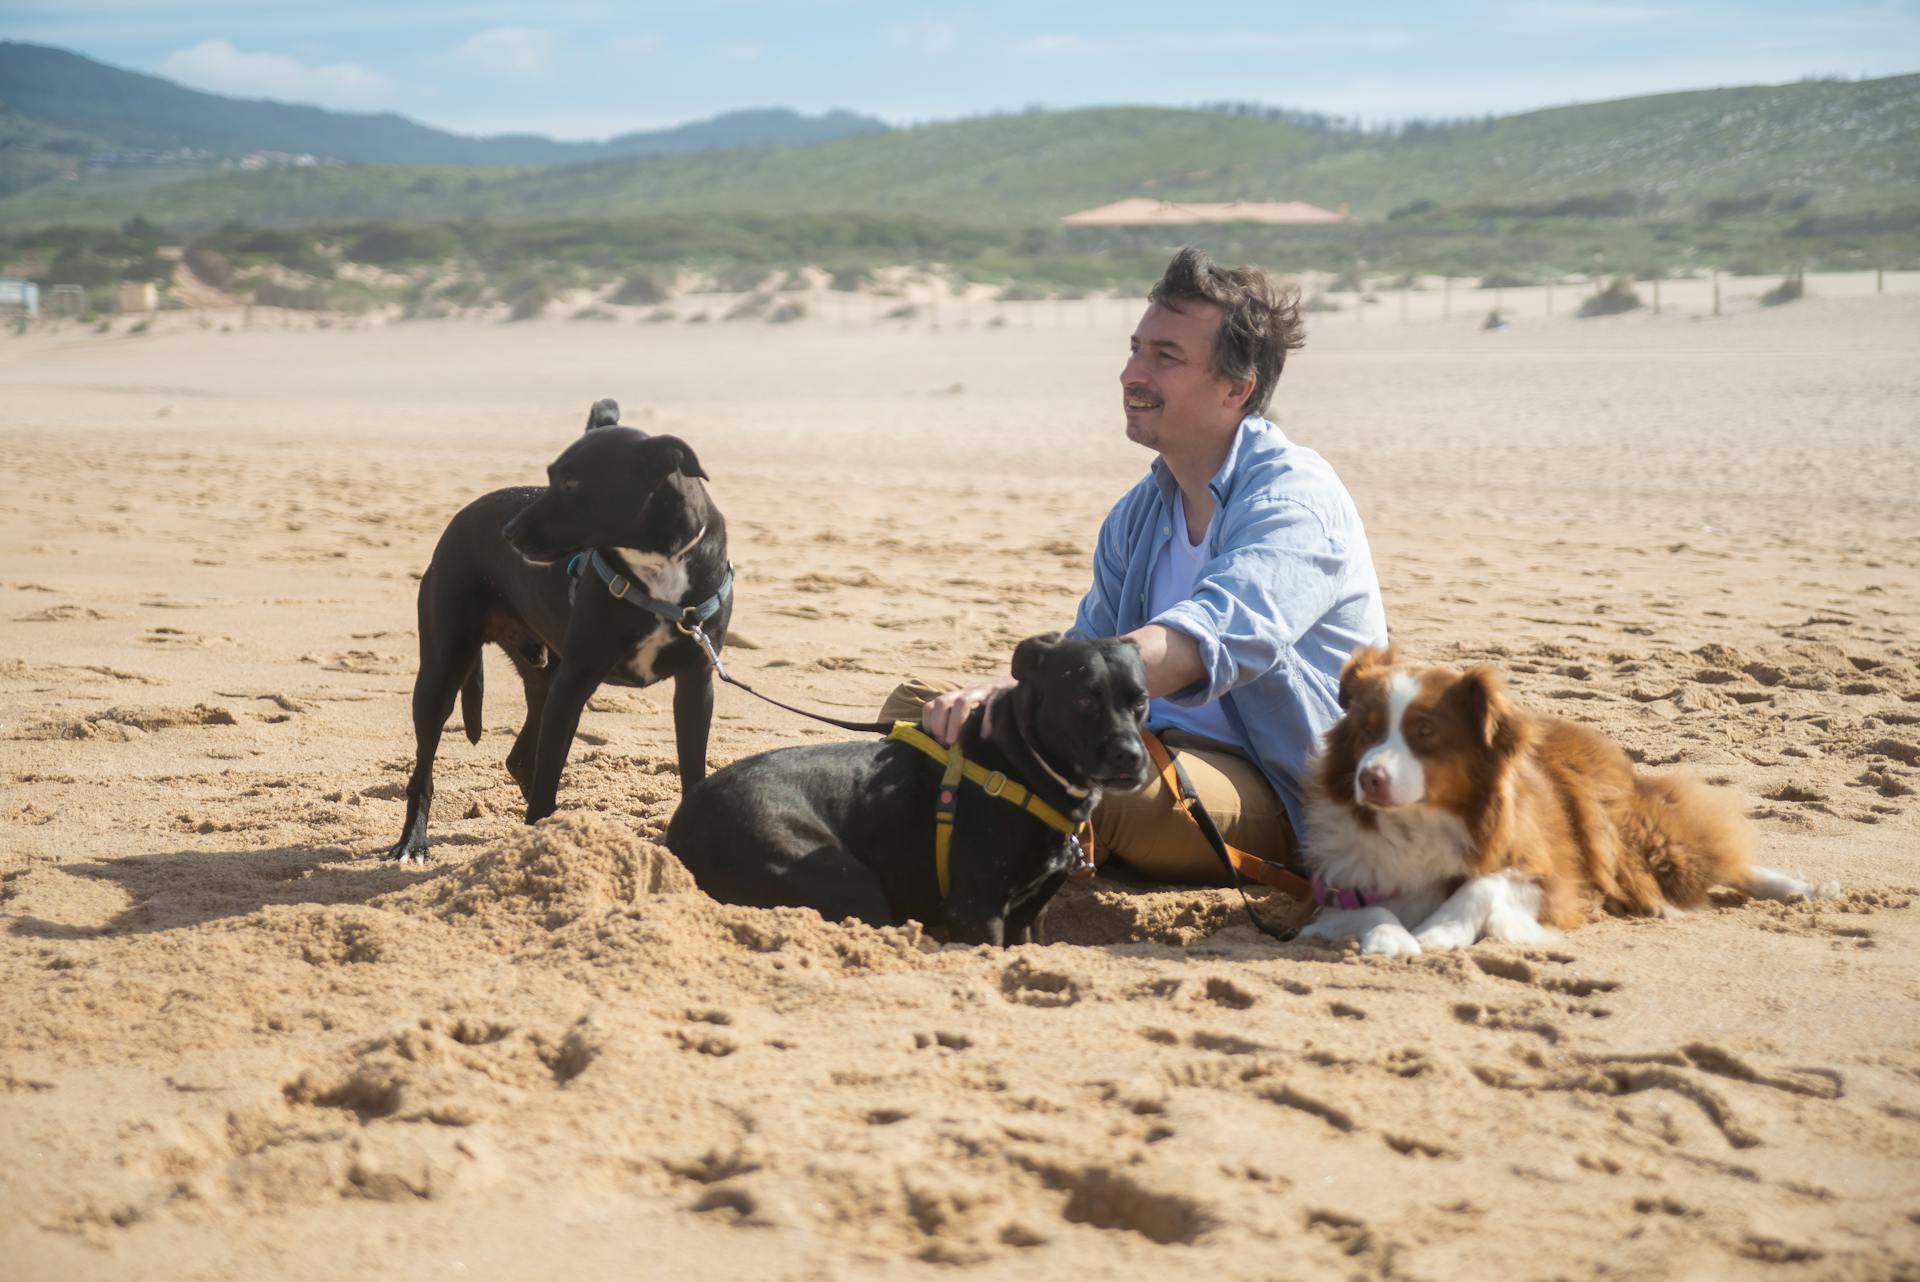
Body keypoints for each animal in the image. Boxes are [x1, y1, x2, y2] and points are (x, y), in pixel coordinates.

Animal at [385, 401, 729, 859]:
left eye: (570, 482)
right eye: (549, 476)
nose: (508, 533)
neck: (658, 562)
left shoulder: (695, 682)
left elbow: (692, 768)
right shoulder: (575, 680)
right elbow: (549, 772)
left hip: (543, 675)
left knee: (520, 758)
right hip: (443, 669)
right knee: (425, 769)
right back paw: (413, 842)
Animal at [668, 629, 1144, 940]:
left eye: (1139, 699)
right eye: (1083, 699)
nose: (1131, 757)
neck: (1022, 765)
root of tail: (679, 830)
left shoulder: (1026, 917)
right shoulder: (977, 911)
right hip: (845, 882)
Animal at [1297, 644, 1820, 955]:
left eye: (1424, 732)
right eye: (1366, 731)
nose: (1370, 779)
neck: (1419, 821)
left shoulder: (1551, 875)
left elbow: (1481, 885)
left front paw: (1437, 931)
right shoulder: (1341, 887)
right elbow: (1373, 908)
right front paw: (1391, 938)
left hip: (1633, 842)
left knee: (1716, 858)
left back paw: (1803, 888)